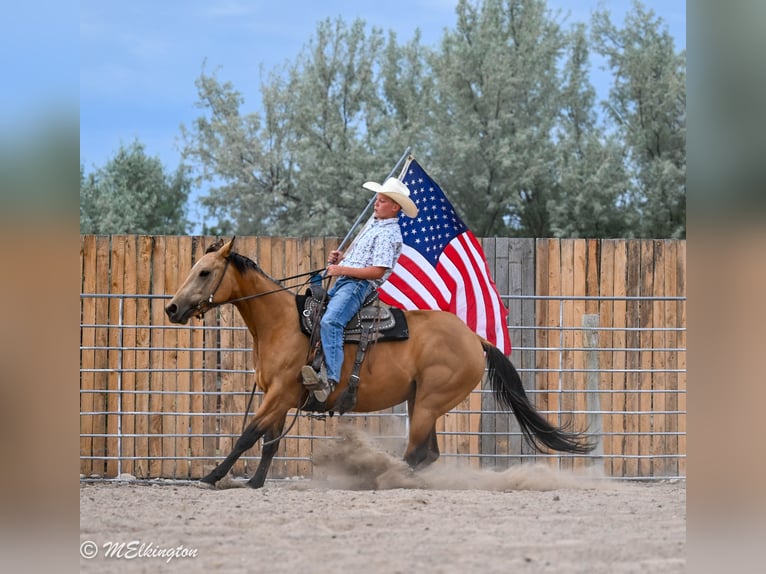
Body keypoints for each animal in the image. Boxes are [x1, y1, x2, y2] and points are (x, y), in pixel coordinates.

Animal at [165, 237, 594, 489]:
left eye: (205, 272)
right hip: (420, 401)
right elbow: (269, 442)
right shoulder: (280, 397)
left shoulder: (280, 393)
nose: (172, 308)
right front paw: (254, 482)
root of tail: (476, 339)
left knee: (417, 453)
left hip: (430, 402)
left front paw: (213, 476)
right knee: (428, 454)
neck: (283, 324)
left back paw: (386, 477)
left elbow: (248, 434)